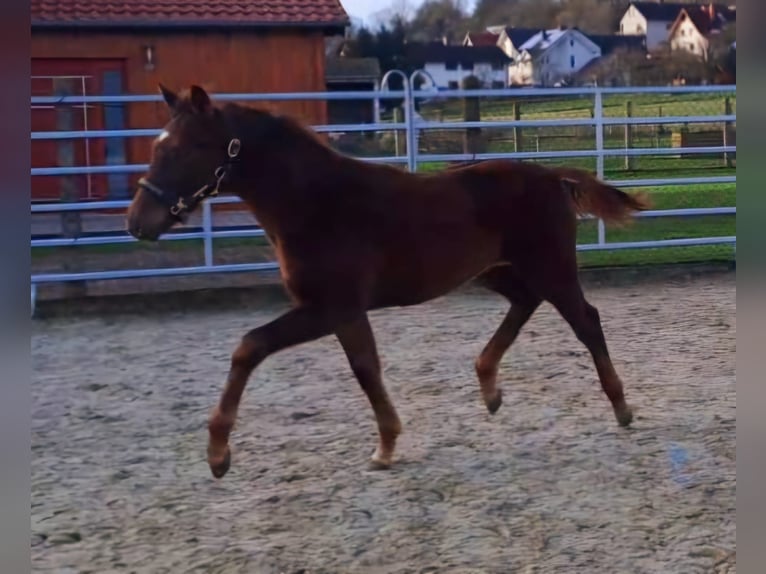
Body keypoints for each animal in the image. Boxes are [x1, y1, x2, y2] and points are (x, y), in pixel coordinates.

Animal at [127, 84, 656, 482]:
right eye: (157, 146)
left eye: (184, 148)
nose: (137, 222)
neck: (315, 203)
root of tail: (551, 175)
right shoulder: (339, 311)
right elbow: (363, 367)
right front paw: (385, 445)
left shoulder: (332, 307)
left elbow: (255, 348)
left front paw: (219, 456)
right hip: (495, 271)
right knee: (525, 303)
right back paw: (489, 387)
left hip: (551, 267)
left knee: (586, 321)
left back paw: (621, 407)